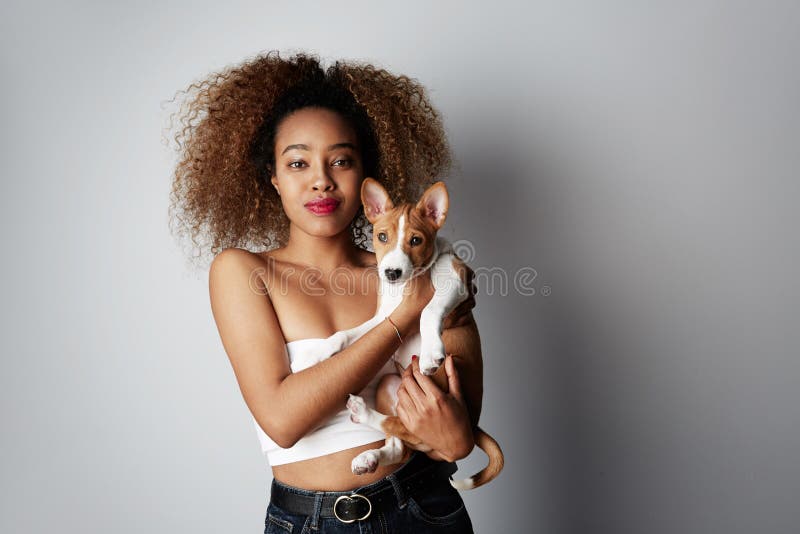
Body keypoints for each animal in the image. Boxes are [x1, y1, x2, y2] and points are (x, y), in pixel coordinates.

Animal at [316, 178, 504, 492]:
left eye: (416, 241)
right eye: (381, 237)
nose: (392, 272)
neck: (403, 287)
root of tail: (472, 423)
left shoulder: (454, 283)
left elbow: (428, 310)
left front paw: (430, 353)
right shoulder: (382, 319)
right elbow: (348, 334)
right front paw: (319, 351)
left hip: (438, 389)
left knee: (406, 429)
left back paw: (363, 413)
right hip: (389, 385)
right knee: (399, 444)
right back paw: (369, 456)